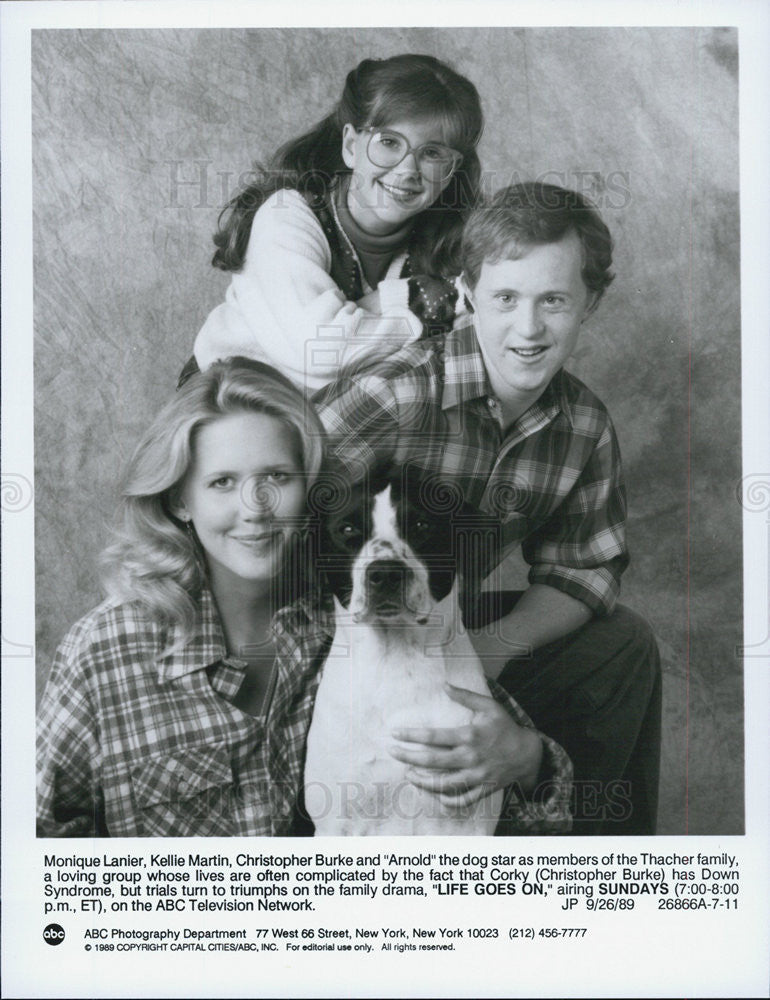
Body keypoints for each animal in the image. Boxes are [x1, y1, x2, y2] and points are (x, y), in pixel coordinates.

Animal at [304, 476, 500, 836]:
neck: (396, 663)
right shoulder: (334, 822)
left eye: (422, 525)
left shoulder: (472, 822)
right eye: (348, 529)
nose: (385, 573)